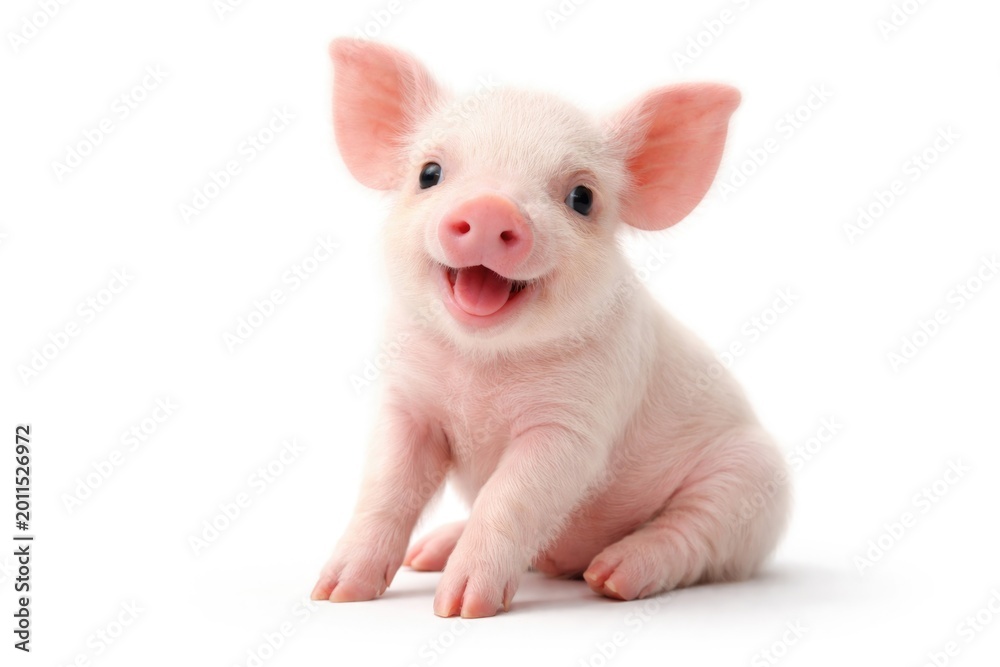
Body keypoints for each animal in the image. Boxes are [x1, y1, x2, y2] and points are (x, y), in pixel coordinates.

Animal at [311, 38, 790, 618]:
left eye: (581, 198)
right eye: (429, 173)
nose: (489, 206)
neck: (482, 366)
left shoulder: (573, 427)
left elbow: (510, 497)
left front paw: (461, 608)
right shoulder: (406, 405)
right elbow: (385, 488)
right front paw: (334, 593)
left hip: (751, 483)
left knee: (691, 535)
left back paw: (612, 577)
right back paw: (428, 554)